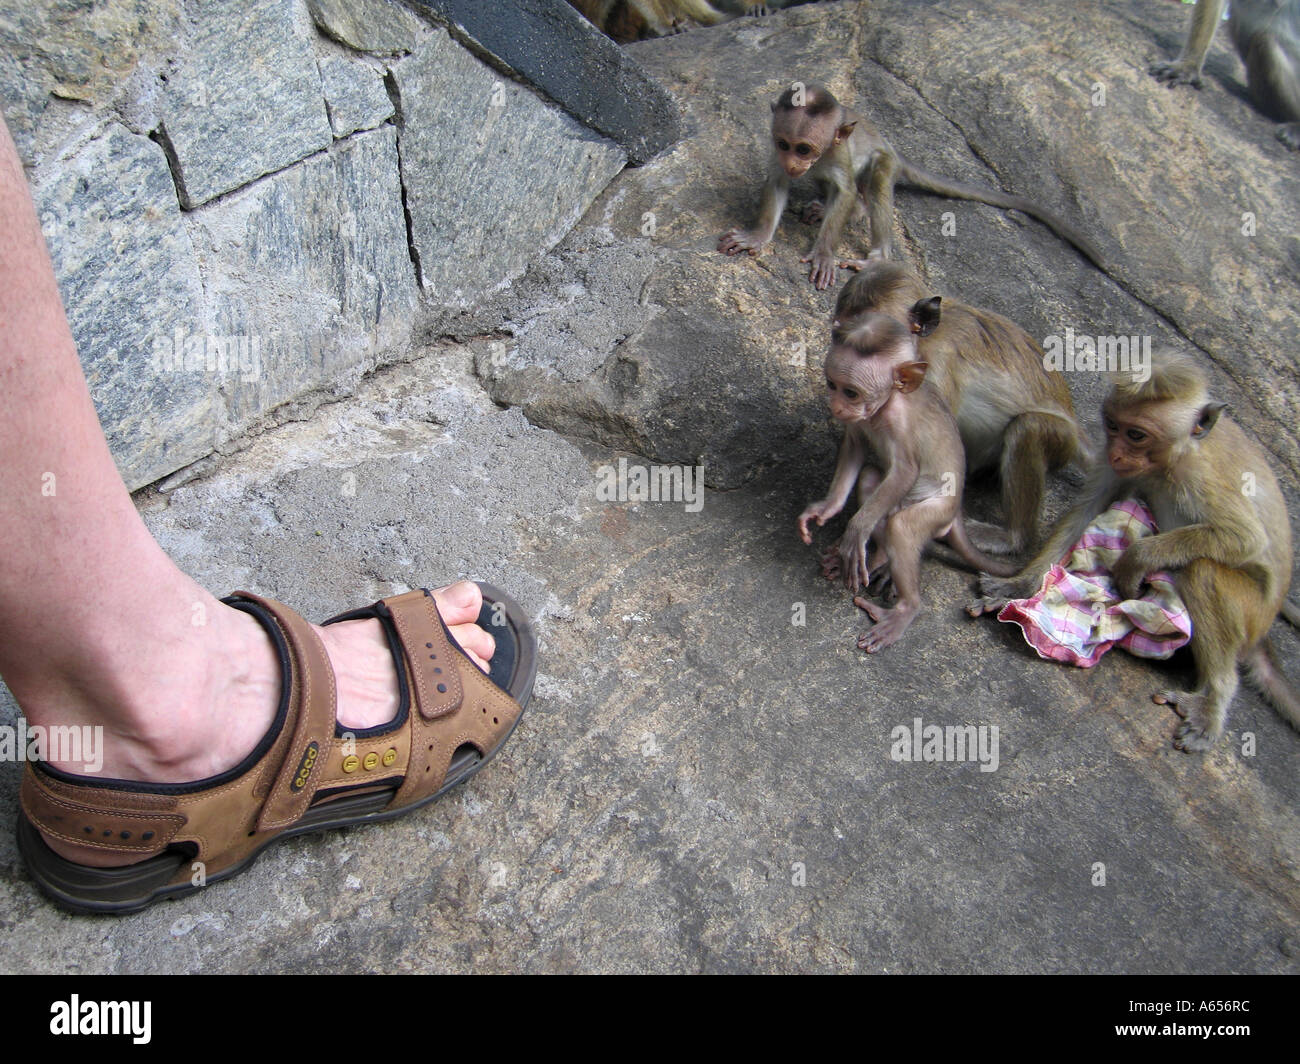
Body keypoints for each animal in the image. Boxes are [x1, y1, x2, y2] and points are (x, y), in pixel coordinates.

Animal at [717, 82, 1102, 288]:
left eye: (804, 149)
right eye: (784, 144)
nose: (795, 162)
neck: (823, 152)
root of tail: (894, 148)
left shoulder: (837, 153)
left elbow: (844, 192)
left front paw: (825, 253)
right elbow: (778, 183)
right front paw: (757, 235)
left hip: (886, 161)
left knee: (876, 183)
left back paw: (875, 250)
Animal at [795, 310, 1019, 650]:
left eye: (851, 392)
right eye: (832, 384)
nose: (835, 406)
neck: (886, 404)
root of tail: (956, 513)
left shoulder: (899, 423)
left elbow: (905, 471)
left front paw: (855, 531)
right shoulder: (861, 423)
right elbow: (855, 446)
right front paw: (827, 507)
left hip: (937, 512)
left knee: (903, 526)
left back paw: (906, 609)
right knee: (871, 480)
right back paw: (878, 556)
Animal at [832, 260, 1086, 551]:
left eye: (872, 330)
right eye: (840, 332)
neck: (926, 342)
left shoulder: (939, 370)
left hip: (1060, 441)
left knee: (1027, 427)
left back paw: (1012, 537)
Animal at [972, 345, 1294, 744]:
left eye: (1137, 435)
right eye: (1113, 426)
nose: (1117, 453)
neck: (1170, 461)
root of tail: (1263, 631)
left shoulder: (1198, 476)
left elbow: (1246, 538)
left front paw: (1135, 560)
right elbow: (1088, 510)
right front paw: (1020, 585)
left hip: (1251, 609)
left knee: (1202, 569)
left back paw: (1214, 697)